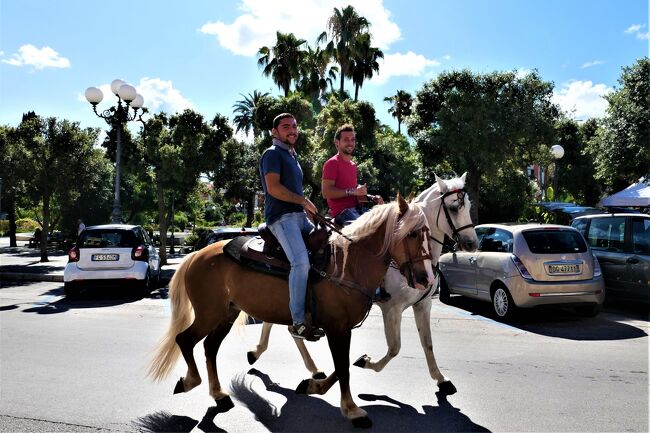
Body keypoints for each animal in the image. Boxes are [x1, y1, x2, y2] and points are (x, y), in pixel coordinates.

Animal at [147, 194, 430, 426]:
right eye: (413, 234)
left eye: (427, 232)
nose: (425, 279)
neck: (348, 264)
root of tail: (195, 255)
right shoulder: (337, 328)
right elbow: (343, 367)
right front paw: (351, 410)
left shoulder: (342, 328)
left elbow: (343, 365)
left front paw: (313, 386)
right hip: (209, 313)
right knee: (185, 339)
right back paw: (189, 382)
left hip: (227, 313)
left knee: (209, 347)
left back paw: (219, 394)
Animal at [243, 173, 476, 394]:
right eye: (454, 208)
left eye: (469, 206)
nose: (472, 243)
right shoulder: (392, 308)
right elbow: (394, 348)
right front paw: (365, 362)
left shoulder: (423, 304)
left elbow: (427, 343)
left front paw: (441, 379)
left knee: (275, 319)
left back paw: (266, 354)